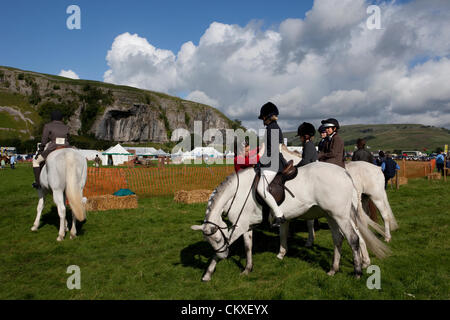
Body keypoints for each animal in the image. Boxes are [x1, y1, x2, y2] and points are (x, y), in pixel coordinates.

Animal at [190, 161, 390, 282]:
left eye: (216, 239)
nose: (225, 256)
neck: (238, 193)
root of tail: (344, 172)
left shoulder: (239, 226)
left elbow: (226, 247)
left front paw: (208, 273)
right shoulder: (246, 226)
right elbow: (248, 247)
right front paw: (247, 269)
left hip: (340, 215)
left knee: (353, 239)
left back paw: (357, 272)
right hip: (331, 215)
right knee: (339, 239)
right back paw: (334, 269)